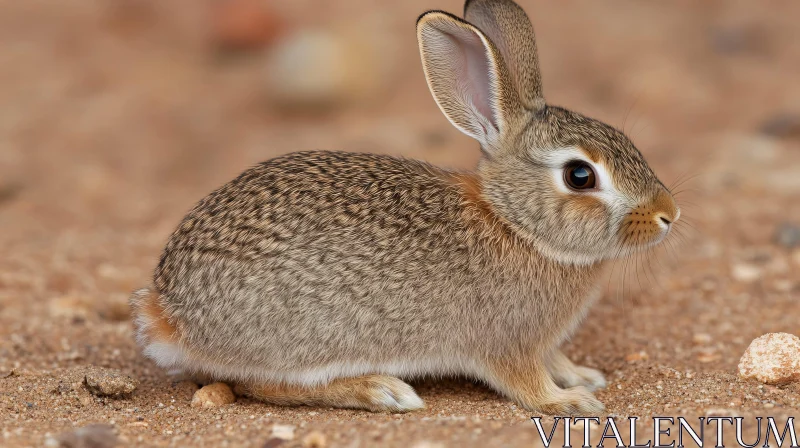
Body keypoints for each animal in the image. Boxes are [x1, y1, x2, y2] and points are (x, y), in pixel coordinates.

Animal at [128, 0, 680, 414]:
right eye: (580, 176)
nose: (667, 214)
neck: (515, 224)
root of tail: (167, 313)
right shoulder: (506, 343)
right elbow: (524, 382)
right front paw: (567, 403)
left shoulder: (540, 340)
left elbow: (556, 358)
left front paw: (582, 376)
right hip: (307, 339)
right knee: (264, 385)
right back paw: (382, 391)